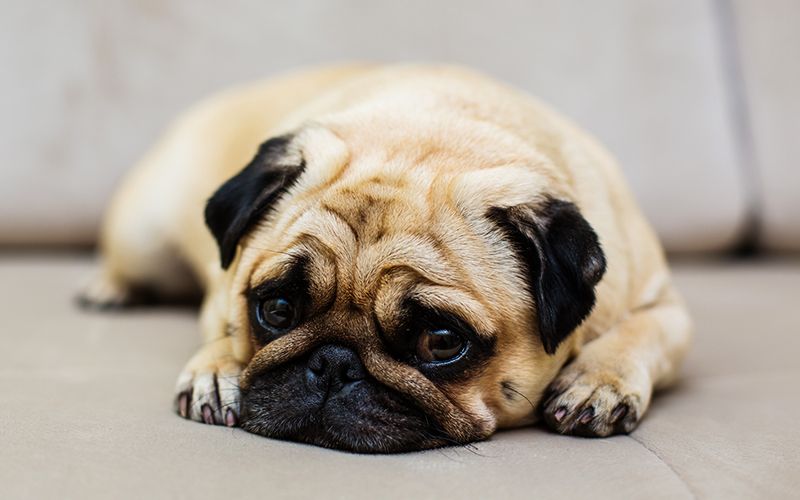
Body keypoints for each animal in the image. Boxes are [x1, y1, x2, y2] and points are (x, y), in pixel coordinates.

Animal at [83, 63, 692, 454]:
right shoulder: (222, 288)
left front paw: (598, 380)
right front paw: (218, 368)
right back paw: (106, 288)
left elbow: (644, 333)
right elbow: (222, 327)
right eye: (276, 310)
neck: (441, 127)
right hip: (143, 237)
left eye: (440, 342)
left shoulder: (667, 307)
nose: (333, 363)